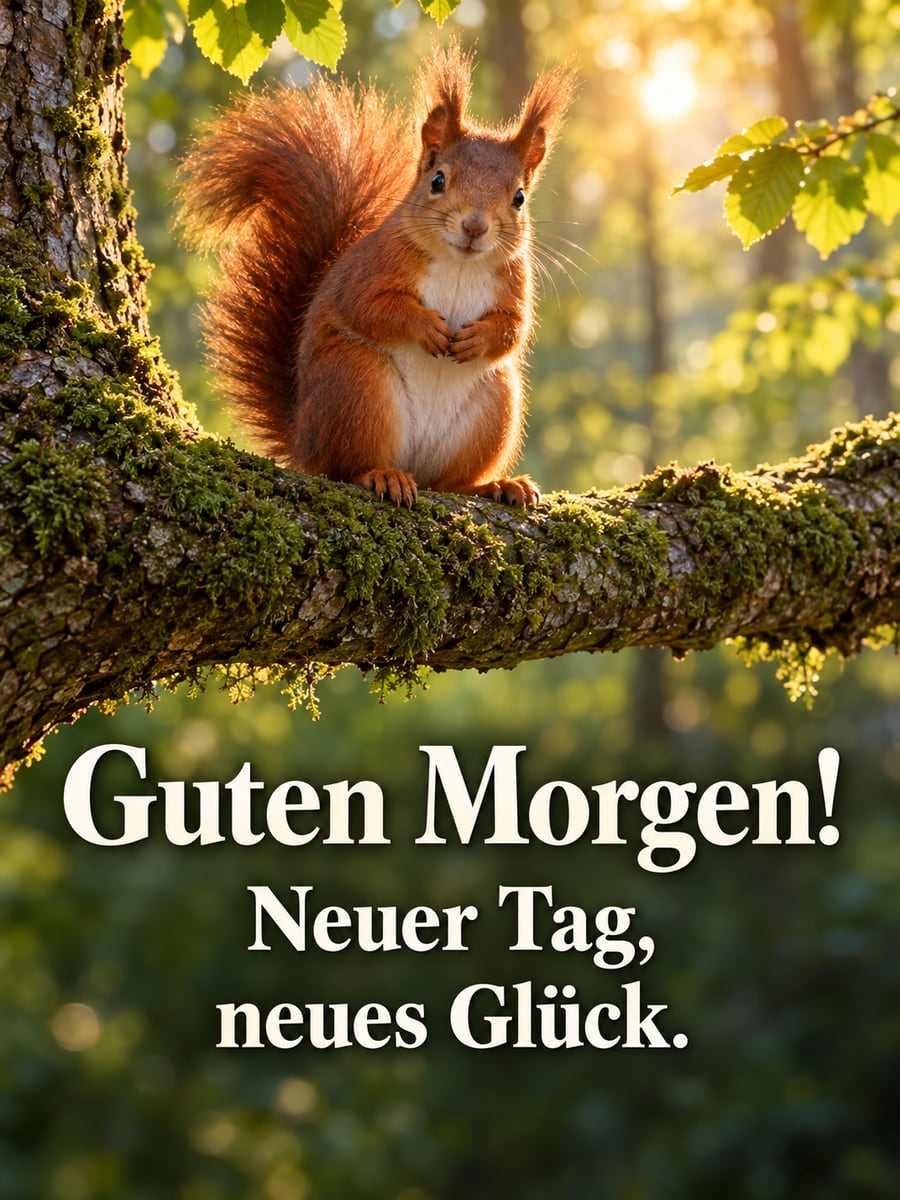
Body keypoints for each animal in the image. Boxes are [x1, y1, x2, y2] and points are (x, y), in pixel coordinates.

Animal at [177, 44, 574, 508]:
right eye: (438, 180)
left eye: (519, 197)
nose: (475, 226)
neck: (460, 264)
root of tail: (304, 439)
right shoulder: (374, 266)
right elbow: (369, 308)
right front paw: (426, 327)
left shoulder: (514, 280)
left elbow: (514, 328)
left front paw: (477, 339)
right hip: (357, 386)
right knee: (347, 467)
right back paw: (382, 475)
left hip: (495, 405)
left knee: (450, 483)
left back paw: (495, 485)